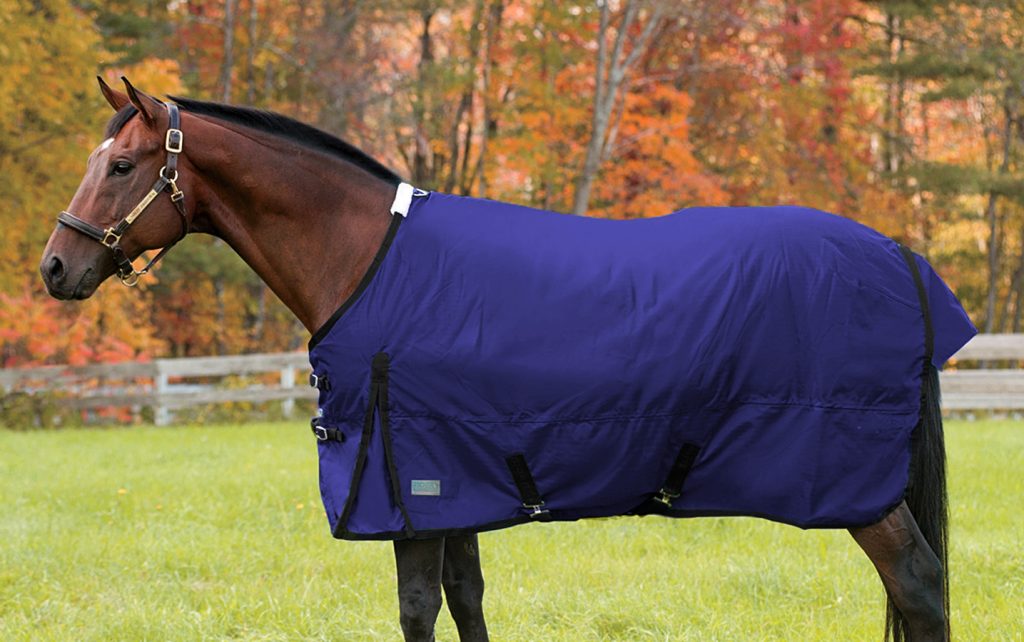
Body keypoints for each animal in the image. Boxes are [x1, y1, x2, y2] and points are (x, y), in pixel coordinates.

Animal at [39, 79, 950, 642]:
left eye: (122, 166)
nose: (54, 268)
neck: (370, 260)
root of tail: (895, 255)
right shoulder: (455, 480)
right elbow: (466, 600)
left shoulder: (405, 485)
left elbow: (416, 608)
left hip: (859, 485)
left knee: (919, 583)